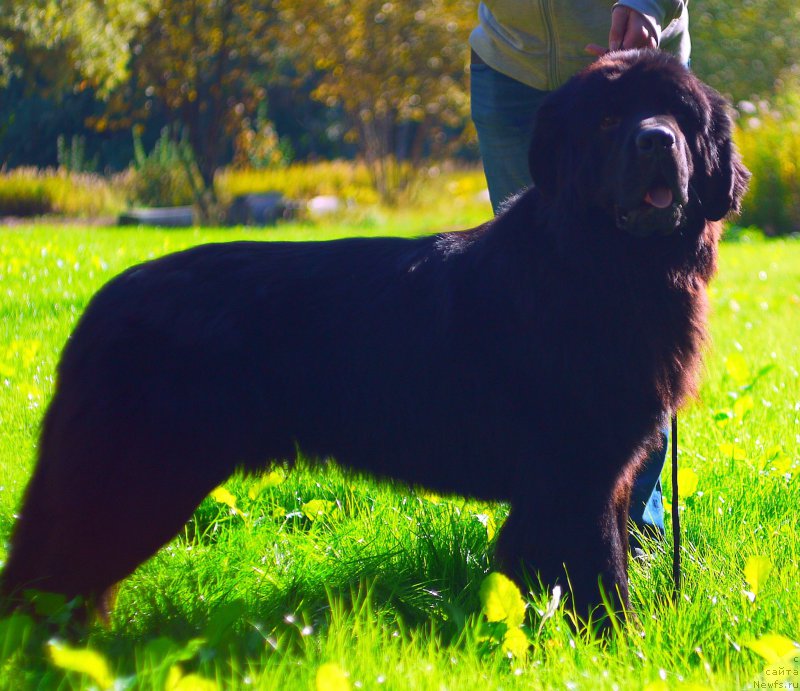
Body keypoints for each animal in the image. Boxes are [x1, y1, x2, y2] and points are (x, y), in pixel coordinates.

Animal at [0, 50, 752, 620]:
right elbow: (599, 572)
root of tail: (102, 303)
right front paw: (621, 645)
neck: (602, 267)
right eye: (607, 119)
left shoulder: (603, 473)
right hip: (134, 471)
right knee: (50, 568)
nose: (657, 141)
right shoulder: (576, 472)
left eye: (681, 116)